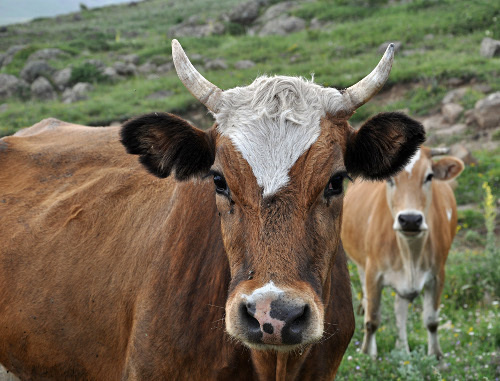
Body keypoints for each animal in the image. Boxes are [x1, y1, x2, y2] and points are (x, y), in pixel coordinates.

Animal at [342, 146, 462, 360]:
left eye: (429, 176)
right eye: (390, 179)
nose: (410, 219)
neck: (410, 254)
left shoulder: (438, 274)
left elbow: (431, 320)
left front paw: (436, 356)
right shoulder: (373, 273)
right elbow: (372, 319)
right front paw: (367, 354)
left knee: (400, 308)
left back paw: (402, 349)